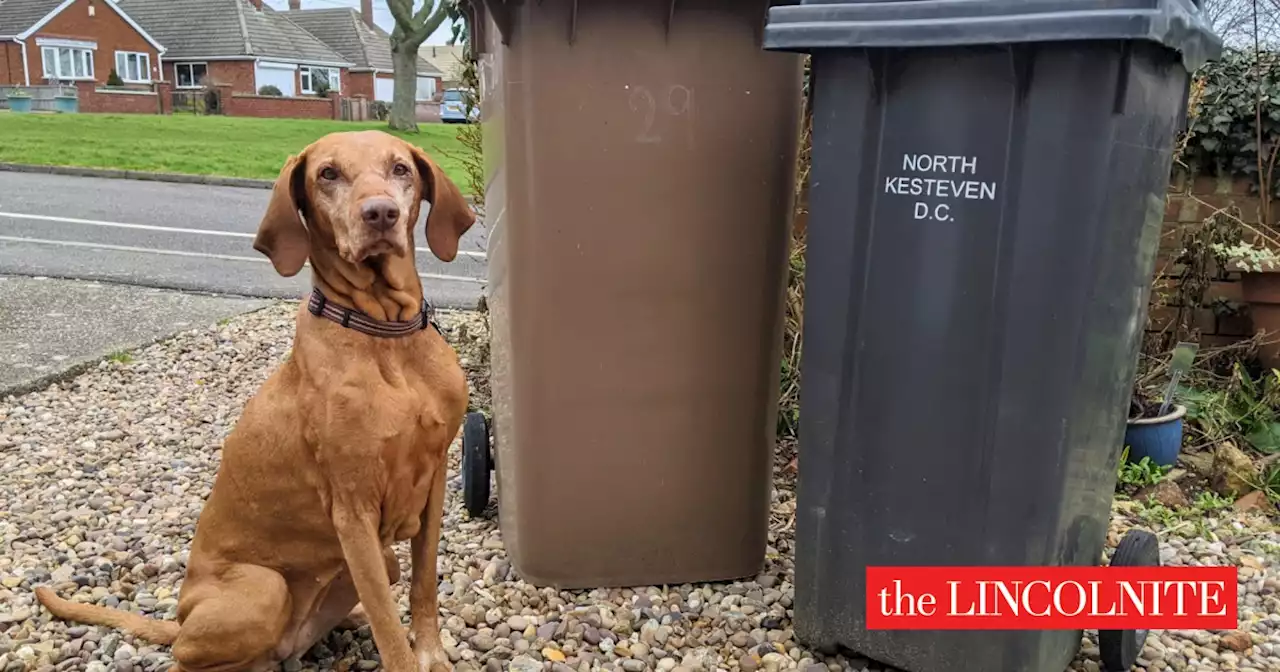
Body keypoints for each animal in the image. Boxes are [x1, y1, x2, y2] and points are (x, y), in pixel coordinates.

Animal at [33, 131, 476, 670]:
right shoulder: (353, 509)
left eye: (400, 169)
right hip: (263, 590)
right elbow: (389, 626)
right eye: (328, 174)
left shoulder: (433, 479)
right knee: (183, 654)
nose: (380, 214)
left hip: (379, 561)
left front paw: (430, 650)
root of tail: (181, 617)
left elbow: (424, 584)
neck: (385, 335)